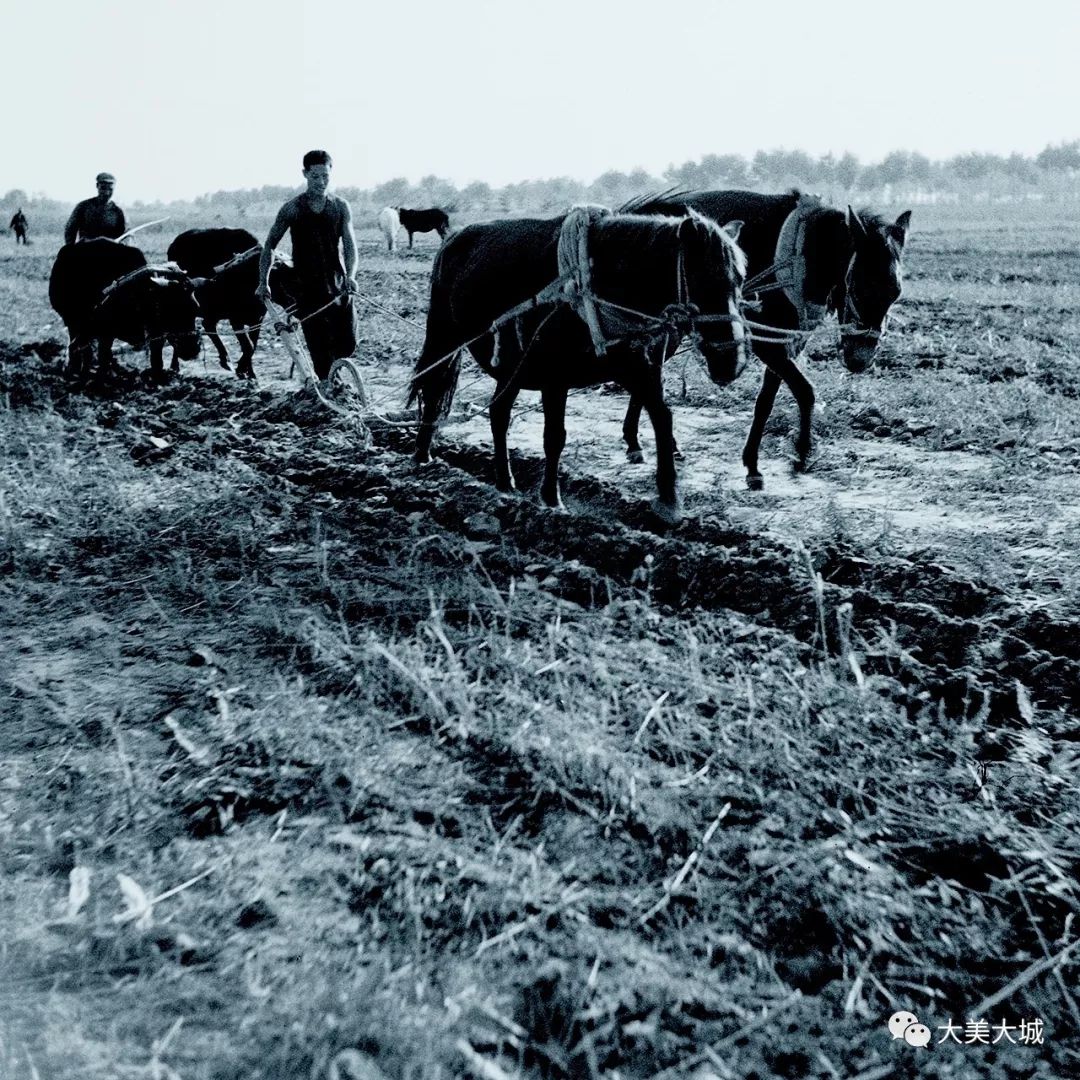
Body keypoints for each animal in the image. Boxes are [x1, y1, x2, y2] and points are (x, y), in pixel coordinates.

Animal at [48, 237, 201, 384]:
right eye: (172, 312)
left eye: (195, 310)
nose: (192, 350)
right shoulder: (103, 332)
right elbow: (100, 355)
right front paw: (99, 380)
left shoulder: (155, 333)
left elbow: (156, 359)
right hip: (74, 323)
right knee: (81, 349)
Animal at [408, 208, 747, 524]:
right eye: (704, 278)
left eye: (740, 279)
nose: (732, 360)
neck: (599, 285)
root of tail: (453, 238)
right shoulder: (554, 378)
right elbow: (554, 437)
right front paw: (551, 498)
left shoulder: (640, 367)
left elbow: (663, 419)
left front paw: (668, 499)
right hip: (445, 338)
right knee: (434, 388)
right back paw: (423, 455)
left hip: (513, 366)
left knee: (498, 413)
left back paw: (505, 482)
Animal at [622, 189, 907, 486]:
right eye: (858, 287)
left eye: (895, 292)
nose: (860, 359)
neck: (802, 253)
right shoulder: (765, 344)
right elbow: (805, 392)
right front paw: (800, 454)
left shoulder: (783, 343)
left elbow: (766, 402)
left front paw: (753, 464)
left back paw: (642, 442)